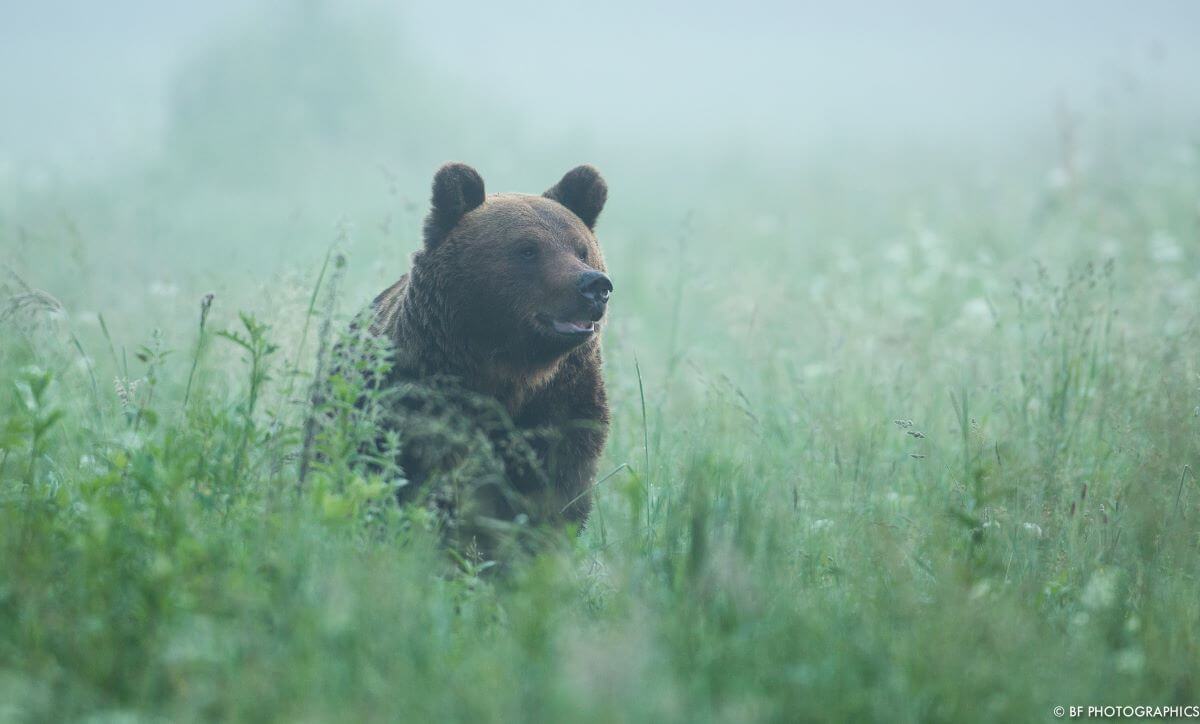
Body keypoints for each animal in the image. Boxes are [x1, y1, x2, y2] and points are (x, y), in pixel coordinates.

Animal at [362, 160, 609, 552]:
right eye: (528, 249)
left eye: (581, 248)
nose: (594, 286)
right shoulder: (421, 400)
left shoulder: (564, 406)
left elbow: (555, 495)